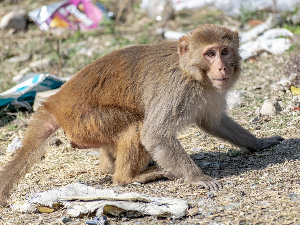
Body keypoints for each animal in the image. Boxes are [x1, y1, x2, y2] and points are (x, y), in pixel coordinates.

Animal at [0, 23, 284, 207]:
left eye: (225, 51)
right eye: (210, 53)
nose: (222, 67)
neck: (192, 72)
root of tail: (56, 103)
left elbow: (213, 122)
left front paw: (259, 143)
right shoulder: (178, 89)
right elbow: (155, 133)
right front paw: (197, 178)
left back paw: (111, 166)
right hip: (87, 121)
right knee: (135, 127)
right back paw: (128, 178)